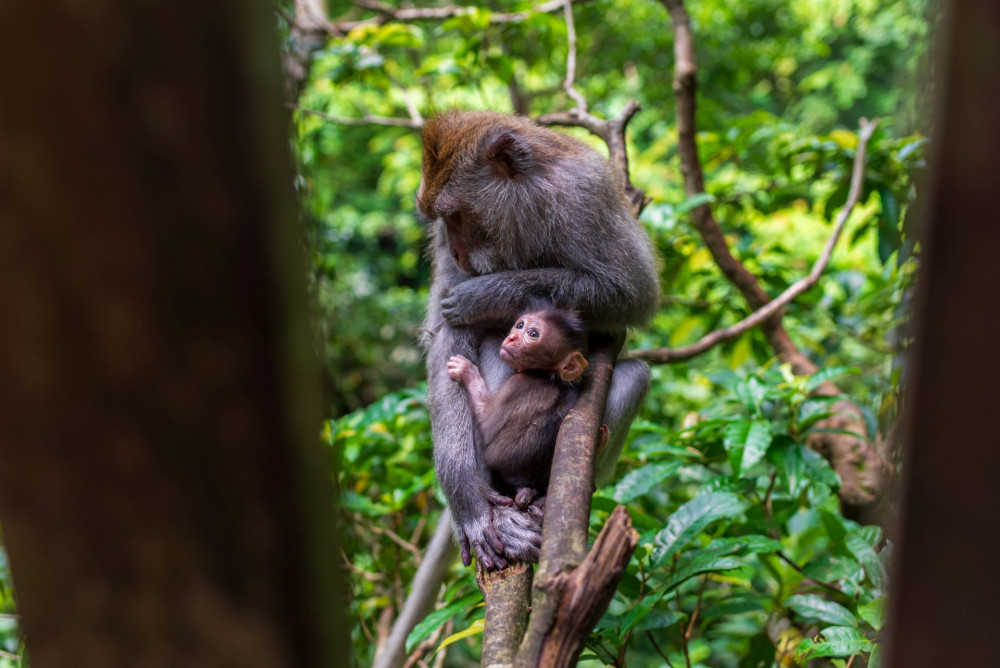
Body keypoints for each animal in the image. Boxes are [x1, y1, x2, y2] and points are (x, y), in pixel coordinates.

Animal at [450, 302, 604, 512]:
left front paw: (466, 371)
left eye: (533, 334)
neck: (547, 376)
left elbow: (487, 427)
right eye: (520, 325)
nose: (512, 337)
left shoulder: (517, 385)